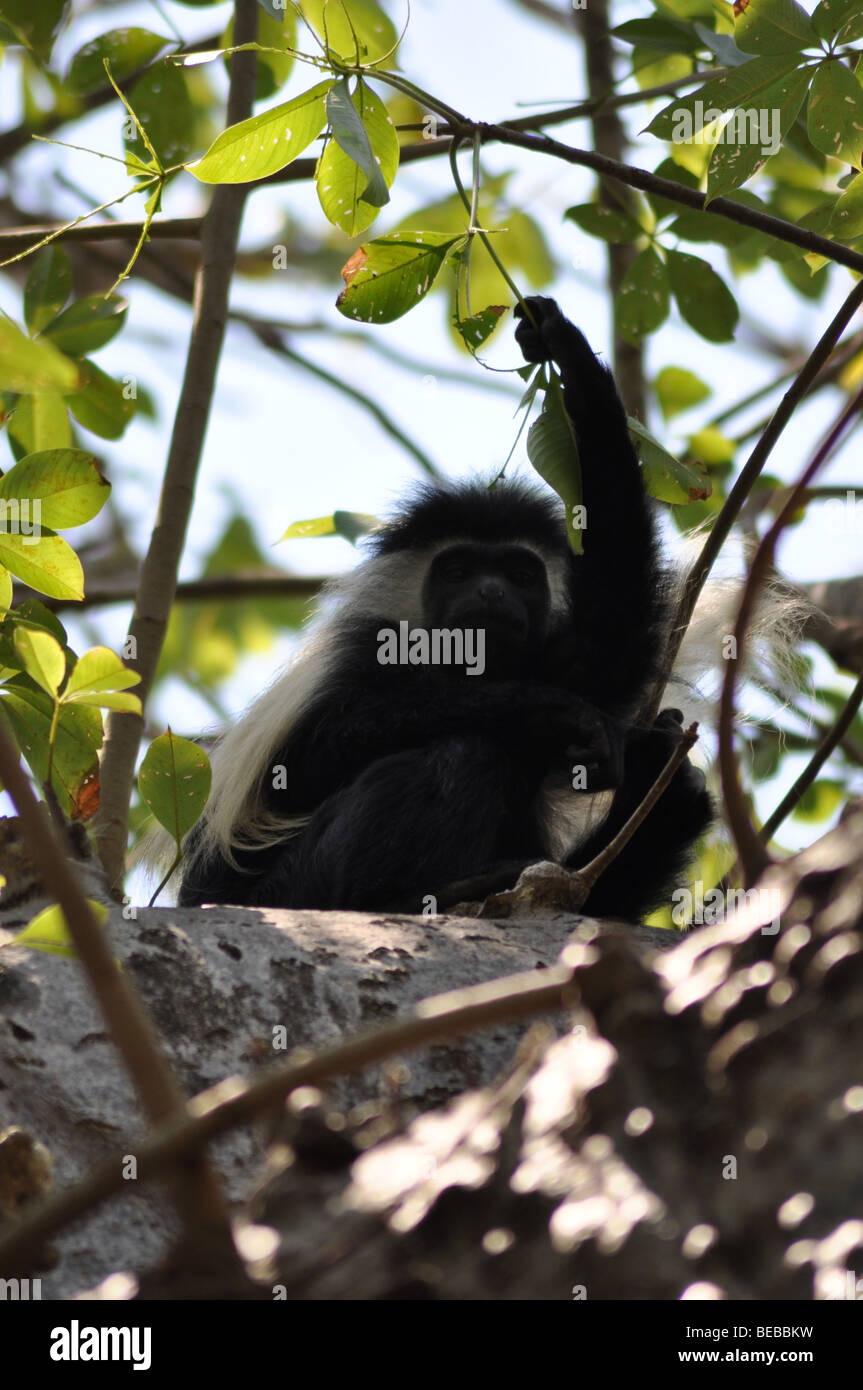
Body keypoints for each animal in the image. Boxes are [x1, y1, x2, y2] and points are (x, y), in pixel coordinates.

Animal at [175, 295, 718, 920]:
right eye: (458, 571)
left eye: (519, 575)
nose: (490, 592)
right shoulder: (364, 651)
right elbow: (312, 758)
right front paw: (543, 709)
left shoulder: (557, 653)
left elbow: (611, 637)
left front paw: (566, 350)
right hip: (292, 888)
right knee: (462, 750)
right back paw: (411, 894)